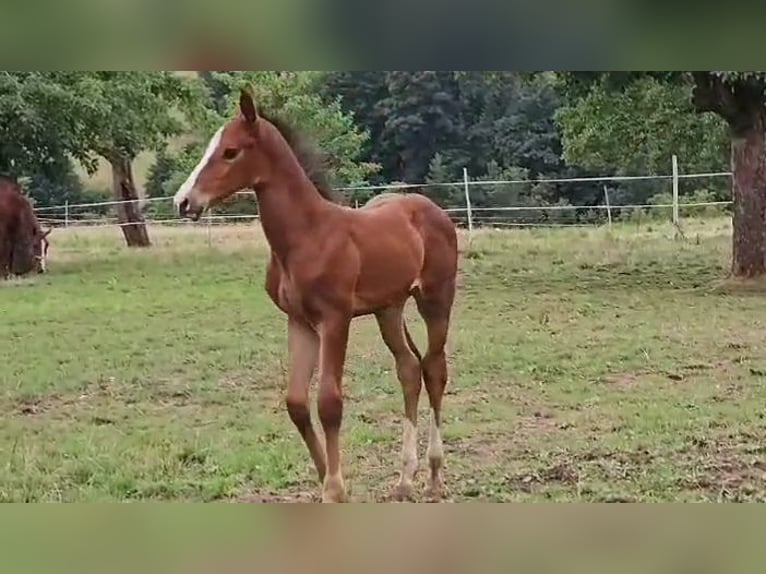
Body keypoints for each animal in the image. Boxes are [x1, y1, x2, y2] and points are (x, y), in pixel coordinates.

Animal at [173, 86, 458, 503]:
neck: (307, 236)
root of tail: (431, 208)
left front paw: (335, 488)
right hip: (388, 308)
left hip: (435, 299)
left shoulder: (335, 320)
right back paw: (405, 479)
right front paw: (329, 478)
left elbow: (329, 403)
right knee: (408, 369)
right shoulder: (299, 322)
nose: (183, 201)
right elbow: (296, 402)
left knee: (434, 369)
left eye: (230, 151)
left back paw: (436, 476)